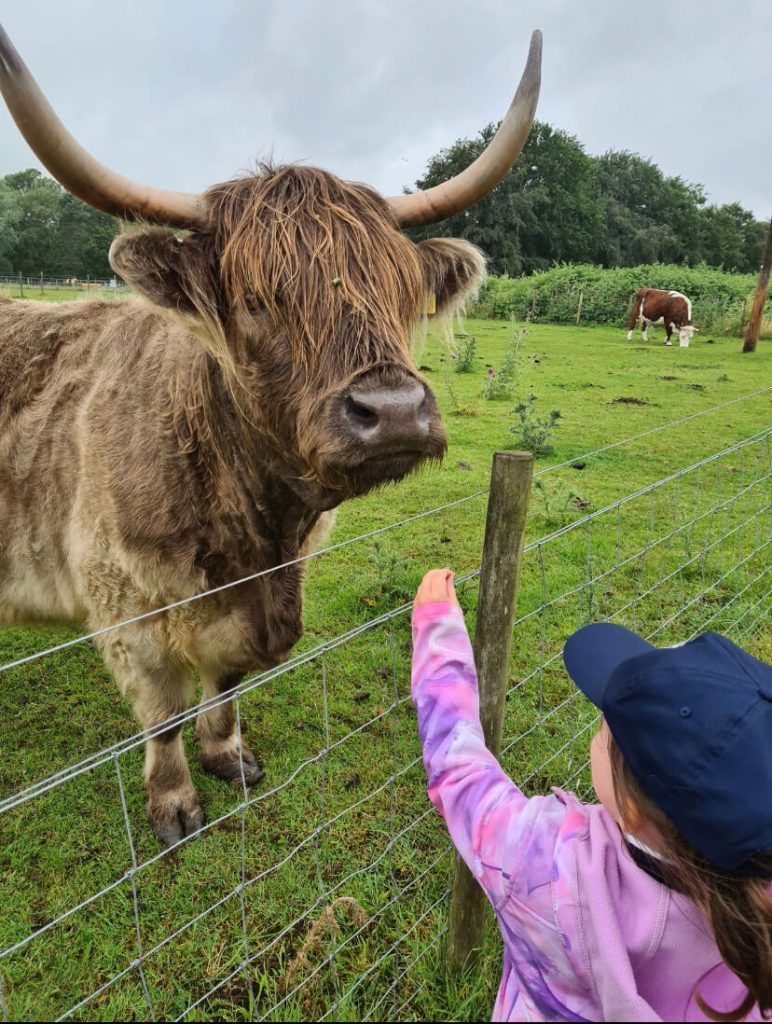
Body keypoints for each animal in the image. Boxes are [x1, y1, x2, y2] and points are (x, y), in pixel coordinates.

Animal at [0, 24, 540, 843]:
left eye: (401, 291)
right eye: (256, 298)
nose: (393, 411)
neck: (258, 531)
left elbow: (223, 686)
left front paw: (229, 757)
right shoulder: (125, 607)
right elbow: (164, 714)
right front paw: (175, 803)